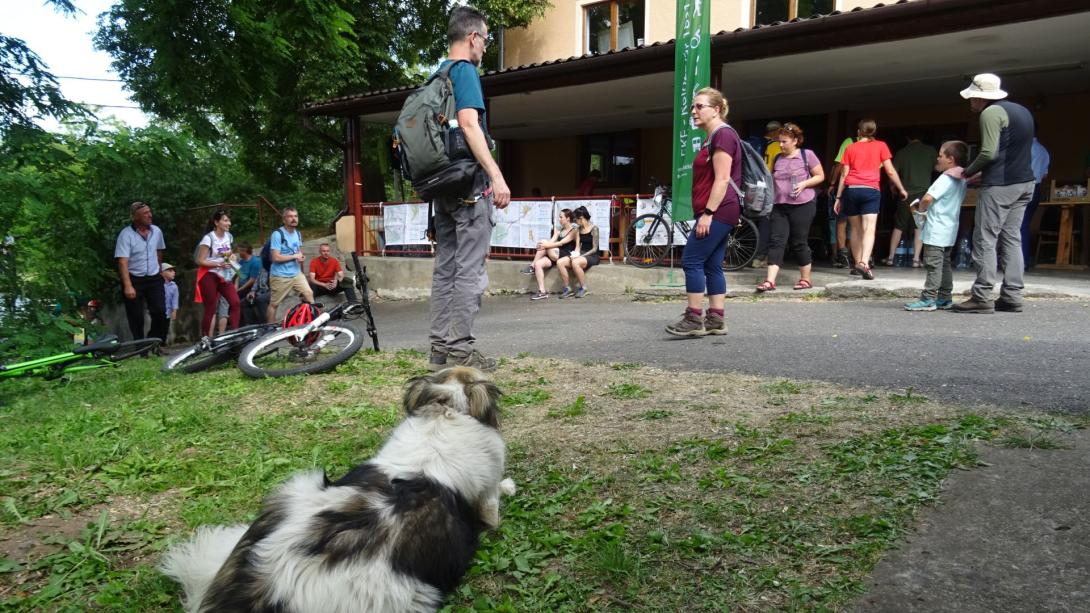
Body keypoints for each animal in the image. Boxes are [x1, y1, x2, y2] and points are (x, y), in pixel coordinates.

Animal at [160, 364, 514, 606]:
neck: (444, 409)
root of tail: (264, 586)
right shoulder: (487, 498)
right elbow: (494, 505)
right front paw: (509, 487)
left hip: (293, 488)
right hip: (406, 594)